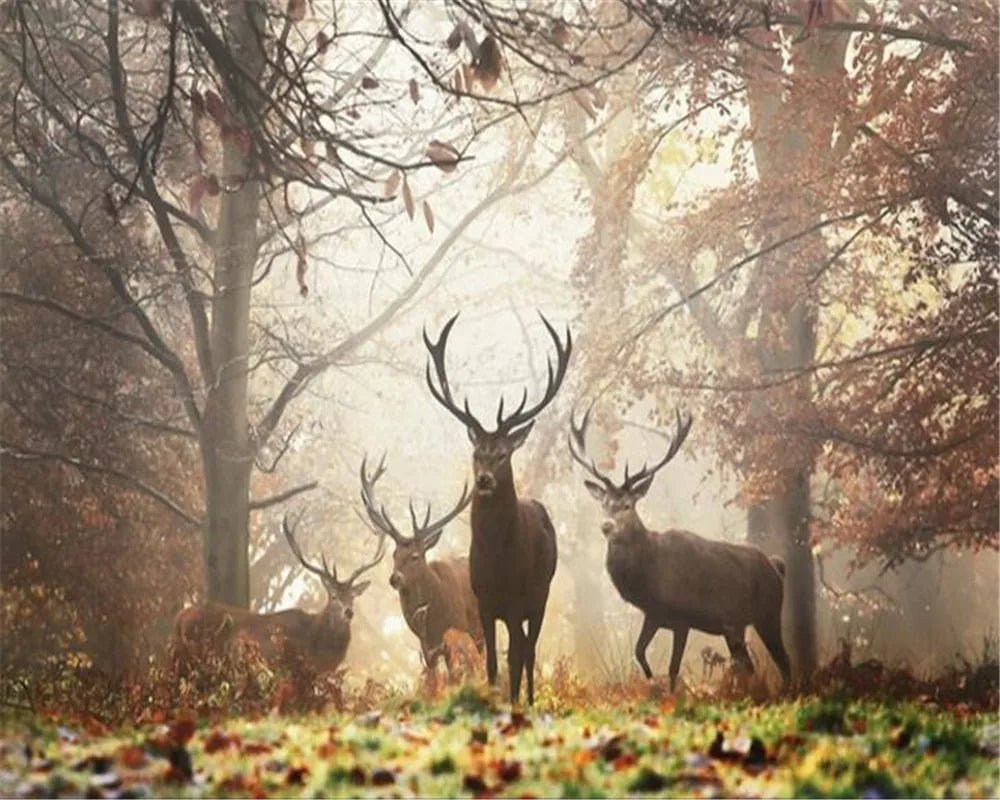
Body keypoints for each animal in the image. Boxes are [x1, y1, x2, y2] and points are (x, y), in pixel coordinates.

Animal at [422, 312, 572, 708]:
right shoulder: (485, 603)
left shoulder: (519, 599)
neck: (498, 560)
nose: (485, 480)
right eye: (477, 453)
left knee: (529, 650)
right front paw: (491, 699)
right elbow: (490, 661)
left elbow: (516, 657)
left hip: (542, 594)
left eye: (504, 454)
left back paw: (530, 701)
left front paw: (515, 703)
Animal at [572, 410, 788, 692]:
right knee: (747, 665)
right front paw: (652, 683)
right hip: (735, 626)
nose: (606, 526)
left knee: (784, 662)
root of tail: (777, 567)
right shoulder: (654, 614)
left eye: (628, 505)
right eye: (604, 504)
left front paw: (671, 695)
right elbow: (639, 651)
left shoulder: (682, 617)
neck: (648, 578)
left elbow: (673, 668)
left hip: (769, 613)